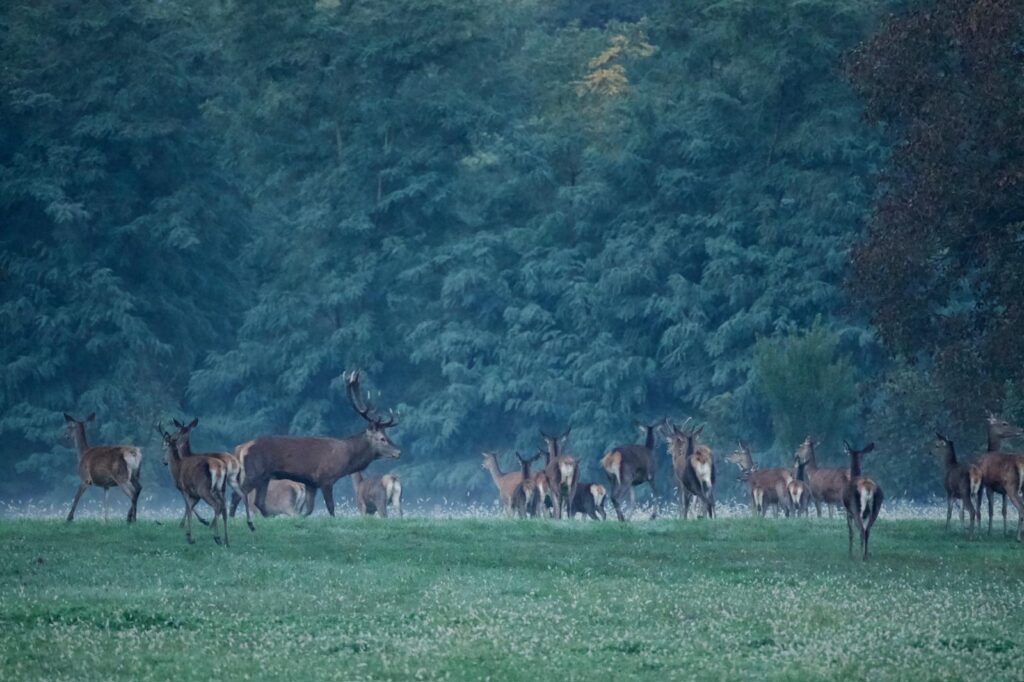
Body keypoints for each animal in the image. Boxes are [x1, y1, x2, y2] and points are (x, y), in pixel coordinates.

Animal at [234, 370, 400, 517]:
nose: (398, 452)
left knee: (258, 502)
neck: (346, 457)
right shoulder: (325, 478)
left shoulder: (310, 483)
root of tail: (241, 449)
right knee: (239, 494)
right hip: (253, 472)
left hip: (264, 477)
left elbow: (307, 511)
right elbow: (331, 508)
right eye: (382, 438)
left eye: (387, 435)